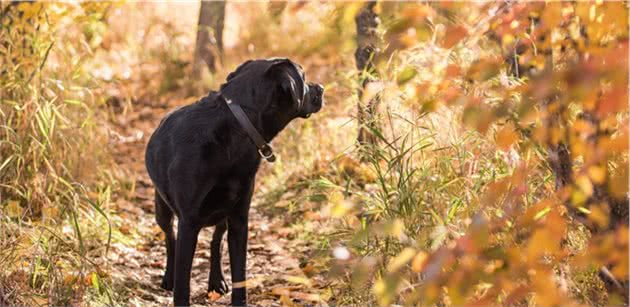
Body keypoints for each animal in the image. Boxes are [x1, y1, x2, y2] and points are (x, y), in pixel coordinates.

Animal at [144, 57, 320, 306]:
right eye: (303, 77)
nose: (321, 88)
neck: (238, 126)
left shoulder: (239, 217)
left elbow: (240, 275)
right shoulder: (189, 222)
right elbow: (183, 282)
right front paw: (177, 284)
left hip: (223, 214)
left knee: (215, 240)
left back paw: (216, 280)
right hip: (162, 208)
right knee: (170, 237)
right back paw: (169, 276)